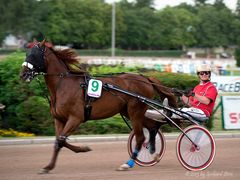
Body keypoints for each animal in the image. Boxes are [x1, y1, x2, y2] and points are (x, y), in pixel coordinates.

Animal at [19, 40, 176, 173]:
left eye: (34, 55)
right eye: (27, 54)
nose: (22, 75)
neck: (62, 85)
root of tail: (145, 78)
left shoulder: (75, 118)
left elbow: (61, 140)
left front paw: (82, 149)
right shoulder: (59, 119)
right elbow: (59, 141)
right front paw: (49, 166)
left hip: (135, 111)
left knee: (140, 137)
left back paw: (128, 163)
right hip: (128, 111)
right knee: (151, 126)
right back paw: (153, 153)